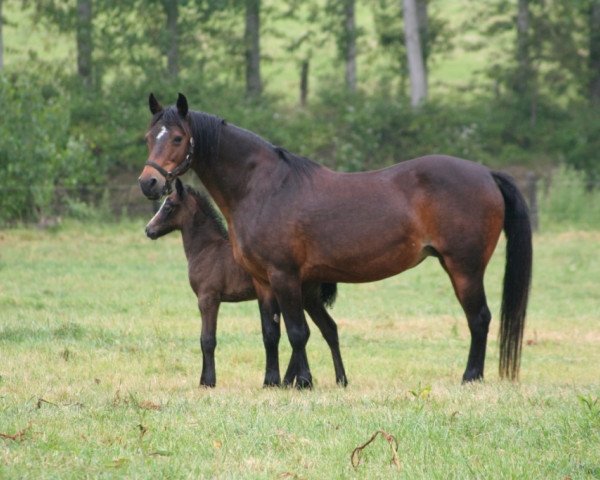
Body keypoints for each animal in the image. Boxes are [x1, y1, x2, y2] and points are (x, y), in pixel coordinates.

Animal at [144, 178, 346, 388]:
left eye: (168, 206)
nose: (148, 230)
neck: (207, 249)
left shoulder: (208, 298)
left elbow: (207, 339)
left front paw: (208, 382)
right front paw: (203, 380)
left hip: (304, 296)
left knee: (311, 331)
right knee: (328, 328)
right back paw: (337, 379)